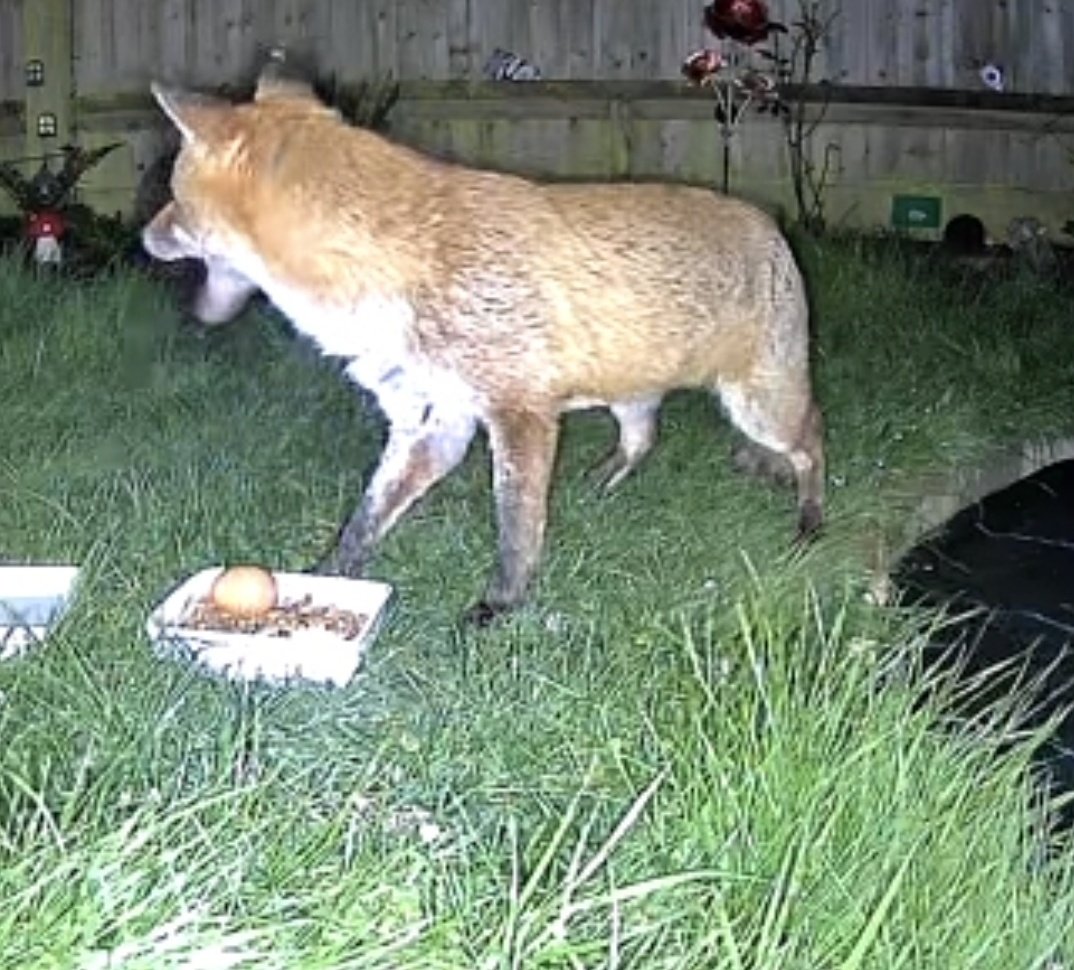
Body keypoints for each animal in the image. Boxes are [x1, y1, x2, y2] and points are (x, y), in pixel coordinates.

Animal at [141, 62, 825, 624]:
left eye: (174, 200)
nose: (144, 239)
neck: (392, 271)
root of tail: (767, 221)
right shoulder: (434, 421)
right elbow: (366, 518)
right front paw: (327, 578)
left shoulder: (519, 414)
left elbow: (516, 525)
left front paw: (500, 605)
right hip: (629, 394)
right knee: (644, 438)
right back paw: (601, 483)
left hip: (758, 408)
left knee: (811, 440)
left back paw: (811, 520)